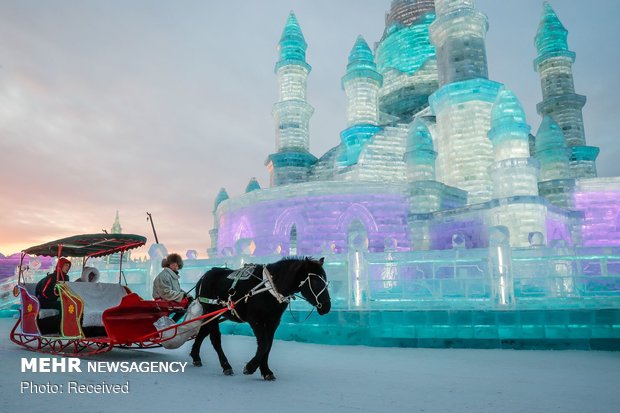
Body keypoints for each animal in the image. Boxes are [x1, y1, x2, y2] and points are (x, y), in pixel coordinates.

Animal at [191, 258, 332, 380]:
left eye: (325, 280)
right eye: (314, 281)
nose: (327, 306)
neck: (268, 288)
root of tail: (205, 276)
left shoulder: (273, 321)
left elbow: (268, 344)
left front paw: (266, 371)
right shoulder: (255, 319)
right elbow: (263, 344)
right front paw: (250, 367)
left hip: (214, 314)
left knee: (203, 332)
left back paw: (195, 356)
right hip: (211, 311)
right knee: (215, 338)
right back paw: (226, 366)